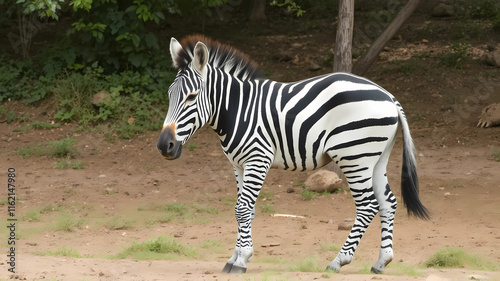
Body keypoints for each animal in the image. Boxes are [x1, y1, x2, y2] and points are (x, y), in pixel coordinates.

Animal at [157, 35, 430, 274]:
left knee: (368, 205)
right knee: (388, 202)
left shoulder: (258, 158)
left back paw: (338, 261)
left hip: (355, 157)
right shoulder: (239, 165)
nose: (163, 146)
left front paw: (241, 261)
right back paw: (382, 261)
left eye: (191, 97)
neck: (237, 109)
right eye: (170, 95)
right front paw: (236, 256)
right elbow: (243, 209)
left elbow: (243, 209)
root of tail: (388, 95)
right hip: (375, 158)